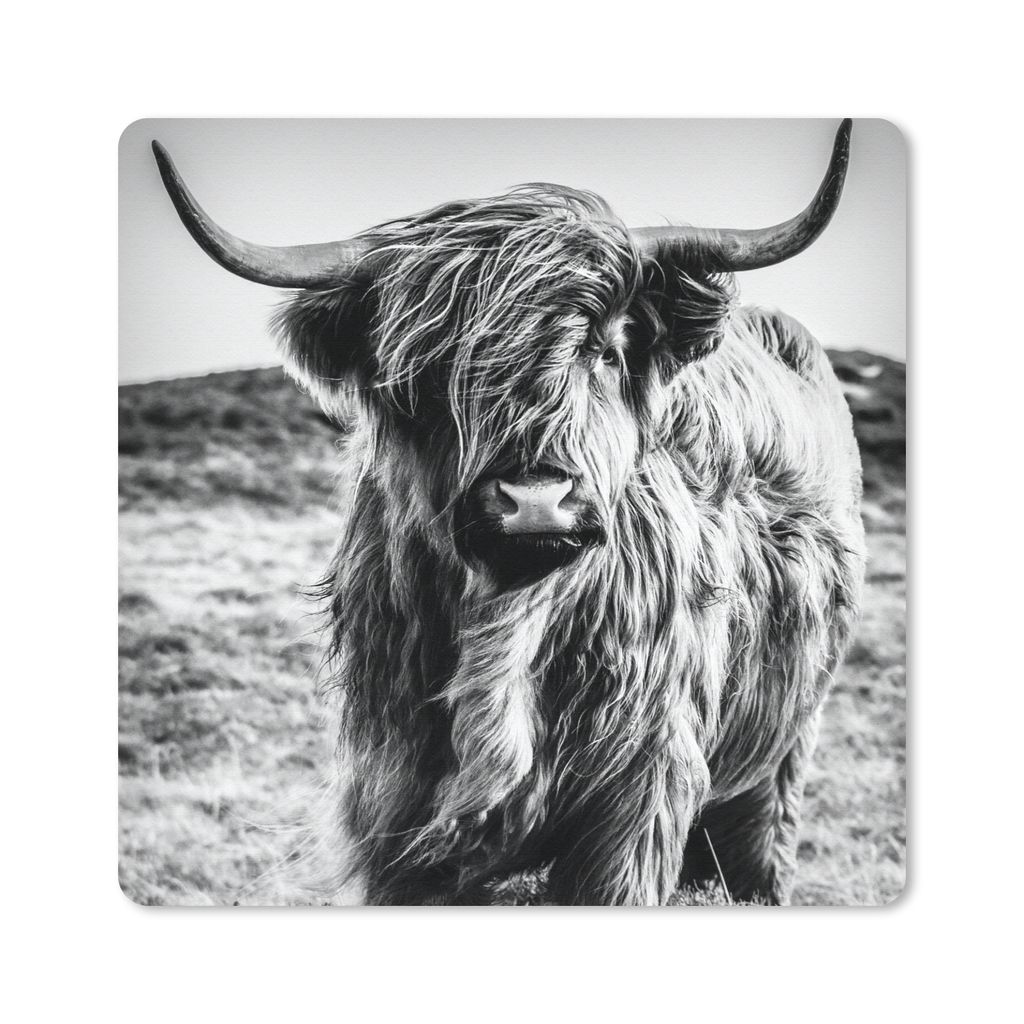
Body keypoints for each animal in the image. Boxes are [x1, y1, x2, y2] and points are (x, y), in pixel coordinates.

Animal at [153, 120, 865, 905]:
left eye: (606, 351)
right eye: (430, 372)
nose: (536, 501)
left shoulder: (639, 795)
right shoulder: (394, 805)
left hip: (784, 753)